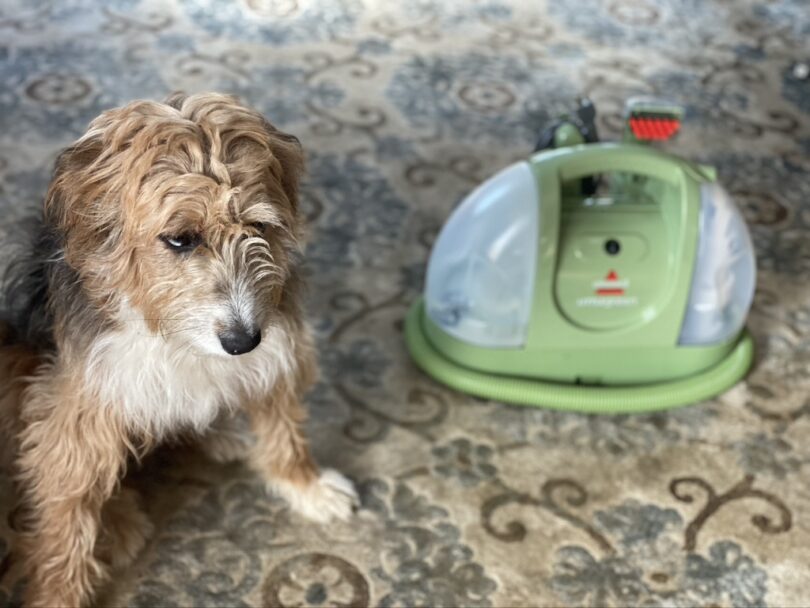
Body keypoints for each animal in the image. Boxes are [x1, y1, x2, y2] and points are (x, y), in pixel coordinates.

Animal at [0, 92, 356, 604]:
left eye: (258, 226)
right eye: (180, 239)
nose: (243, 342)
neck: (173, 334)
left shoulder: (278, 350)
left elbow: (284, 427)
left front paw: (306, 485)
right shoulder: (80, 411)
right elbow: (65, 517)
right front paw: (58, 594)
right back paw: (120, 521)